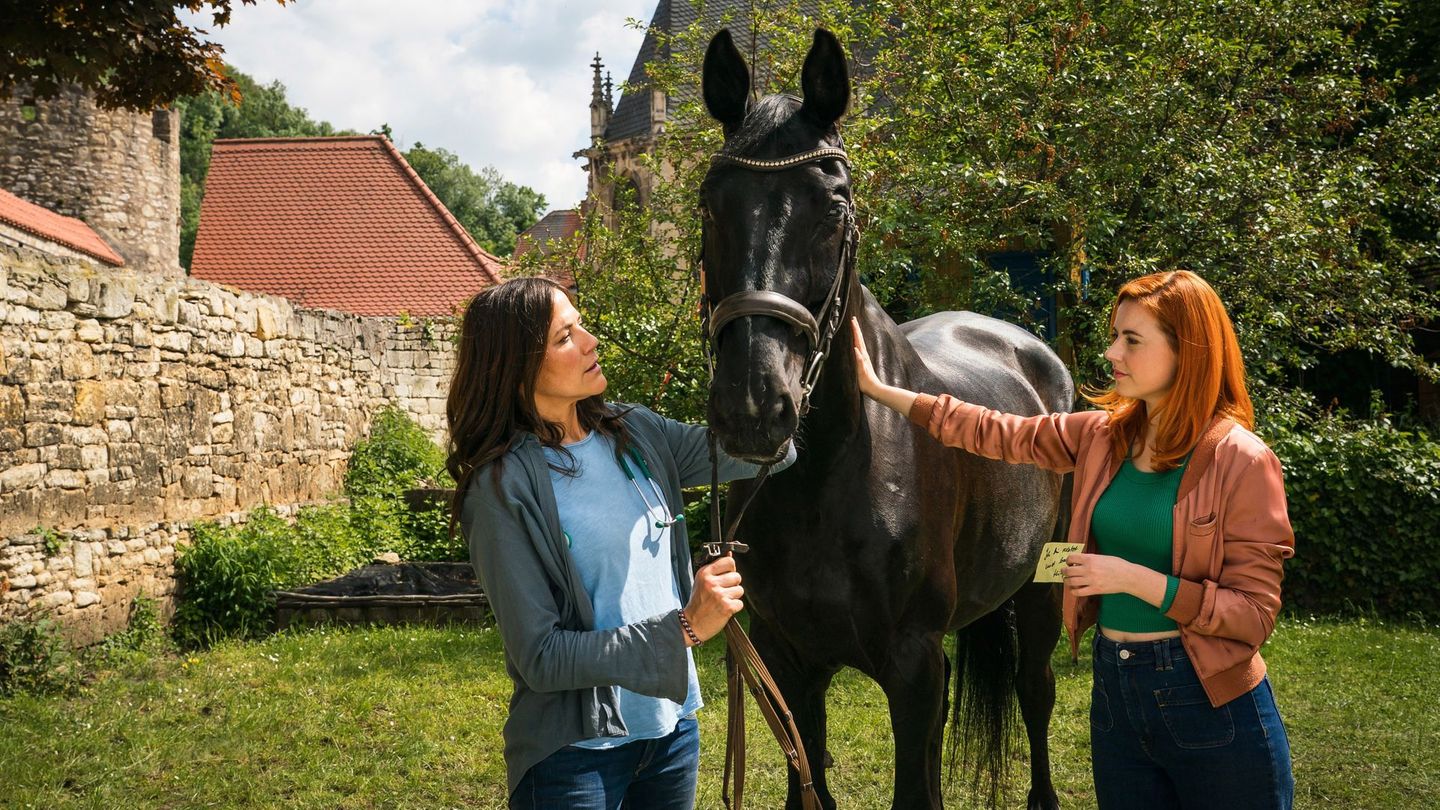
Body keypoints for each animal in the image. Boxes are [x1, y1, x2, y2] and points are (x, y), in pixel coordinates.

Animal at [699, 29, 1075, 809]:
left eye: (834, 208)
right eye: (710, 205)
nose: (754, 406)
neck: (830, 477)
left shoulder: (911, 665)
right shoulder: (787, 662)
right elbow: (811, 778)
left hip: (1041, 590)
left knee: (1035, 692)